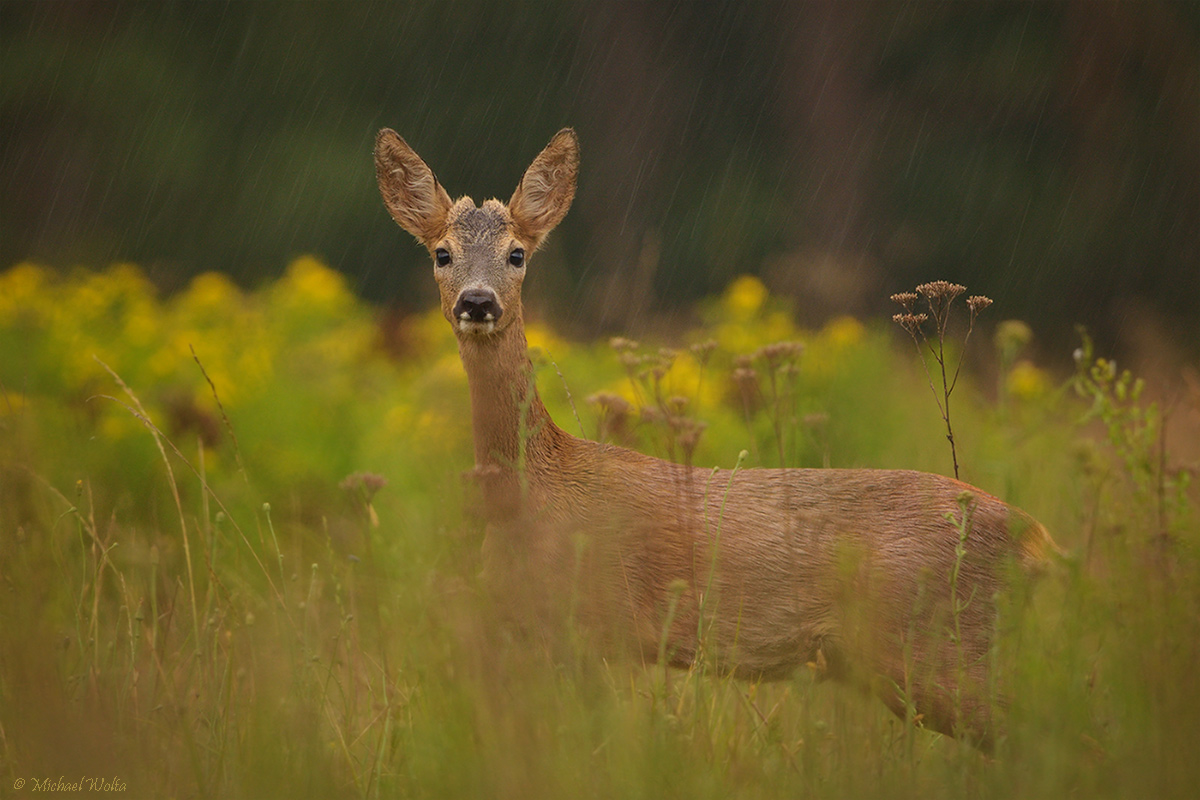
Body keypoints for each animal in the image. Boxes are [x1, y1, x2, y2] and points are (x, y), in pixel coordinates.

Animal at [372, 126, 1051, 753]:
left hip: (943, 645)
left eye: (516, 254)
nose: (477, 301)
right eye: (441, 253)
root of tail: (1036, 538)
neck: (533, 495)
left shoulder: (598, 622)